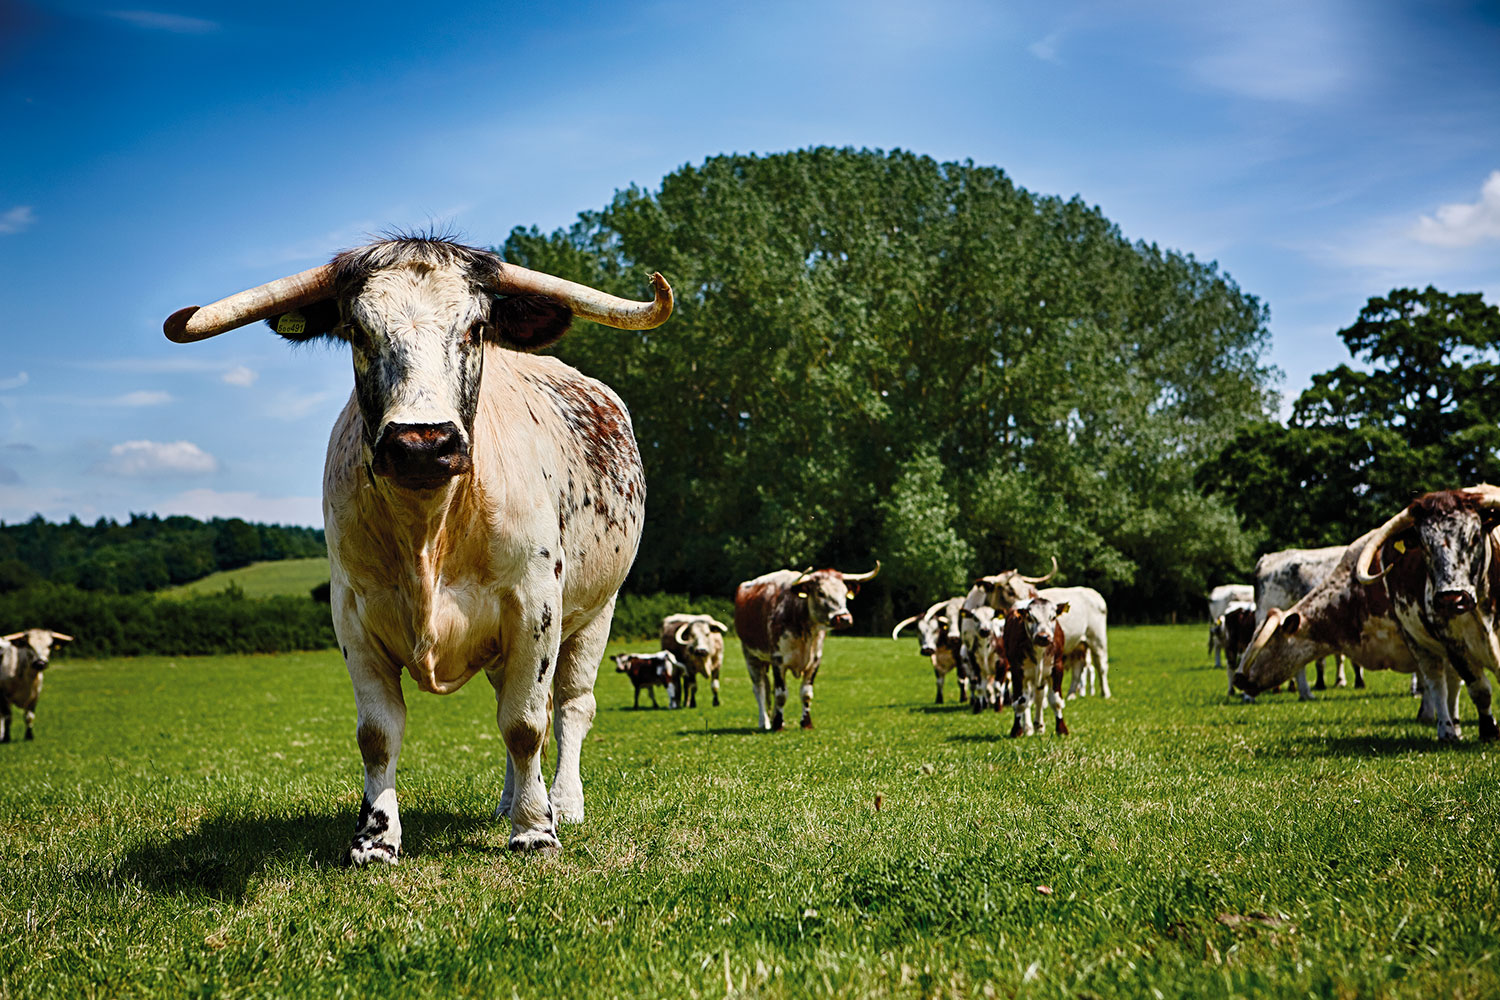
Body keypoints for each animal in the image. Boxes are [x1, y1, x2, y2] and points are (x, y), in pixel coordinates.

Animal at [161, 235, 672, 863]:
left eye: (477, 328)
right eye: (358, 331)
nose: (422, 444)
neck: (429, 529)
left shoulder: (534, 606)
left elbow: (526, 722)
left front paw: (535, 828)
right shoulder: (352, 614)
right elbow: (379, 733)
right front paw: (375, 838)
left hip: (596, 611)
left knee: (571, 706)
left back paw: (563, 803)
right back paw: (508, 799)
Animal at [729, 560, 876, 731]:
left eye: (845, 592)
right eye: (820, 592)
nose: (844, 619)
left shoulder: (815, 661)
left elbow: (806, 693)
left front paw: (806, 723)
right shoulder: (778, 661)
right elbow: (781, 694)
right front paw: (778, 724)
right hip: (750, 655)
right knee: (759, 688)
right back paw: (764, 721)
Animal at [966, 560, 1110, 701]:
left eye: (1027, 591)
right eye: (1010, 591)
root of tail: (1092, 592)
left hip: (1097, 640)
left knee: (1101, 666)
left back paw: (1105, 694)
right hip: (1077, 645)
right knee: (1078, 668)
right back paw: (1071, 695)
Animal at [1002, 599, 1074, 740]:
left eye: (1053, 617)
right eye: (1030, 618)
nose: (1043, 637)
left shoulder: (1057, 667)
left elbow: (1056, 701)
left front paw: (1061, 729)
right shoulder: (1017, 671)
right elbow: (1020, 702)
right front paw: (1017, 730)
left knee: (1038, 697)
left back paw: (1039, 726)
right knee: (1027, 698)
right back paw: (1028, 727)